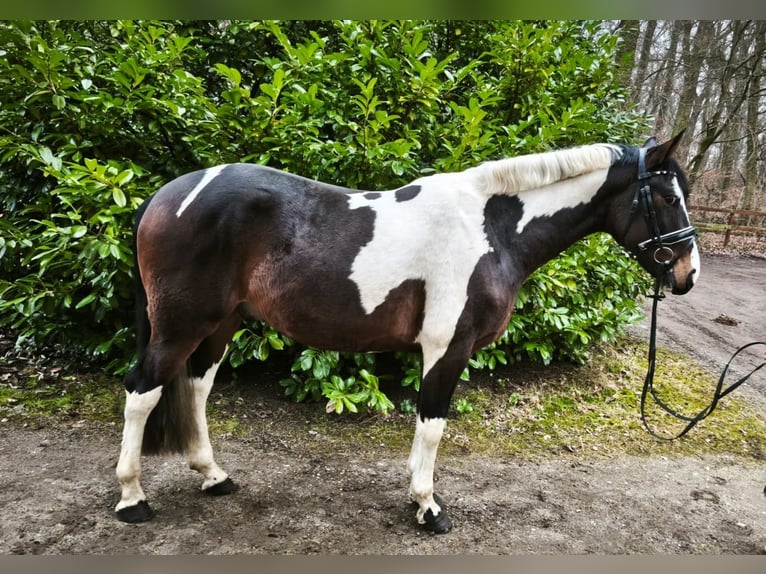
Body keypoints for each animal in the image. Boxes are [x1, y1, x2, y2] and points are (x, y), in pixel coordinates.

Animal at [112, 130, 704, 536]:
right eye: (668, 198)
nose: (687, 274)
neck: (491, 229)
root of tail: (165, 195)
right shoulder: (447, 348)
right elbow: (433, 425)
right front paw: (428, 508)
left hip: (219, 324)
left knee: (195, 388)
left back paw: (214, 476)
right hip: (180, 325)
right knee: (141, 393)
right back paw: (132, 499)